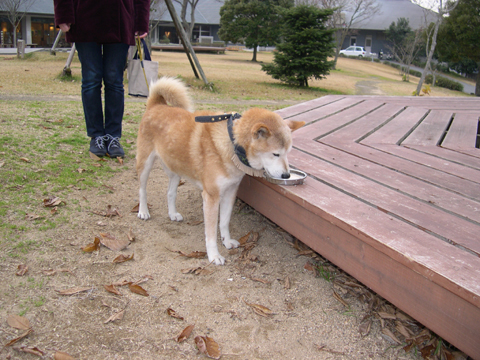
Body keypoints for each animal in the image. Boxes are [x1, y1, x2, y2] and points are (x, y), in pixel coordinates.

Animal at [135, 77, 304, 264]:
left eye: (288, 152)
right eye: (275, 154)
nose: (286, 175)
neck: (232, 143)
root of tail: (156, 105)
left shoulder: (230, 192)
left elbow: (224, 222)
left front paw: (226, 241)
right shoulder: (211, 197)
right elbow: (210, 232)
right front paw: (214, 255)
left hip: (175, 168)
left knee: (171, 193)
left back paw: (172, 213)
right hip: (145, 164)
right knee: (142, 189)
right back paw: (143, 211)